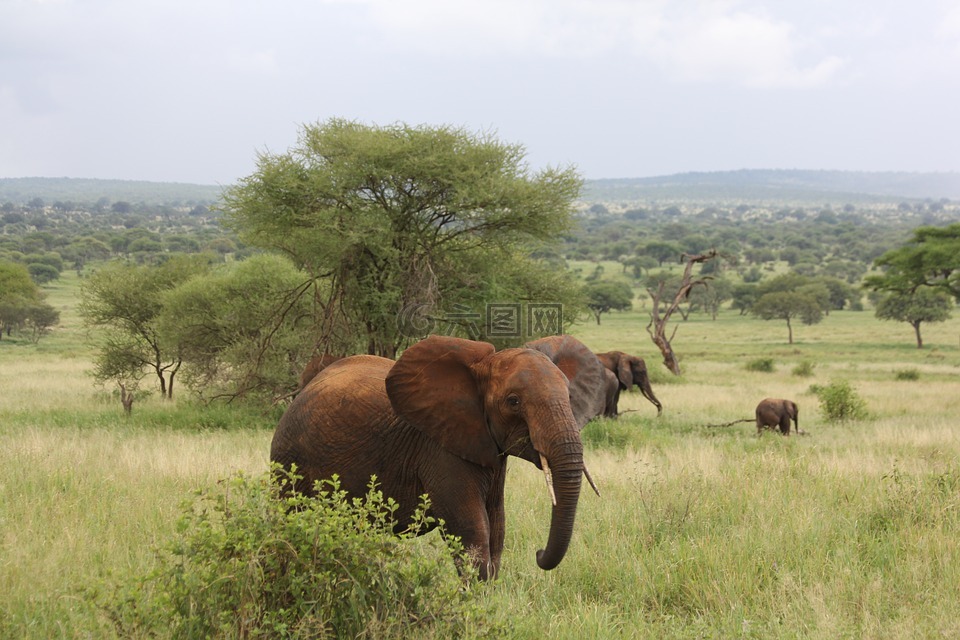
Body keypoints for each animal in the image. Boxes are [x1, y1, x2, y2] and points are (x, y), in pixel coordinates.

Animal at [268, 336, 584, 580]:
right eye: (513, 401)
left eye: (570, 396)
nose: (539, 553)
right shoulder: (439, 449)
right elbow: (472, 530)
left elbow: (497, 527)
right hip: (289, 459)